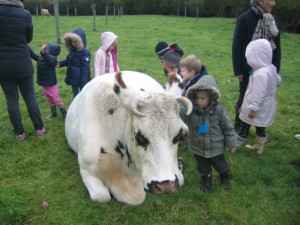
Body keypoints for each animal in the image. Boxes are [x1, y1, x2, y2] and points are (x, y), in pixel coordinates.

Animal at [65, 71, 192, 205]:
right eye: (140, 137)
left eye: (178, 136)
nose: (165, 186)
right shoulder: (86, 170)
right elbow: (102, 196)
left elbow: (180, 178)